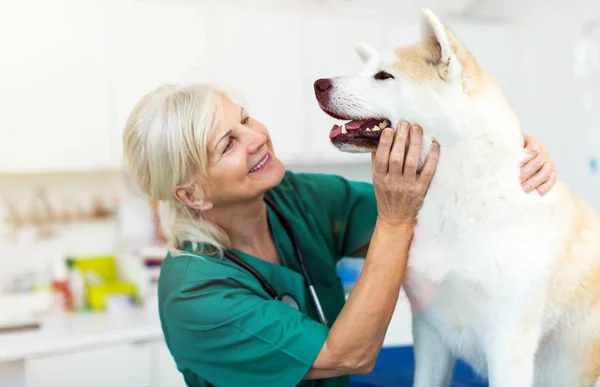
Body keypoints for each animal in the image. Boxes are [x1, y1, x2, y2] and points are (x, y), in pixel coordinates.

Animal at [314, 6, 600, 387]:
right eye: (366, 71)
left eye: (383, 76)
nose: (318, 84)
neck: (458, 196)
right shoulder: (429, 333)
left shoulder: (509, 344)